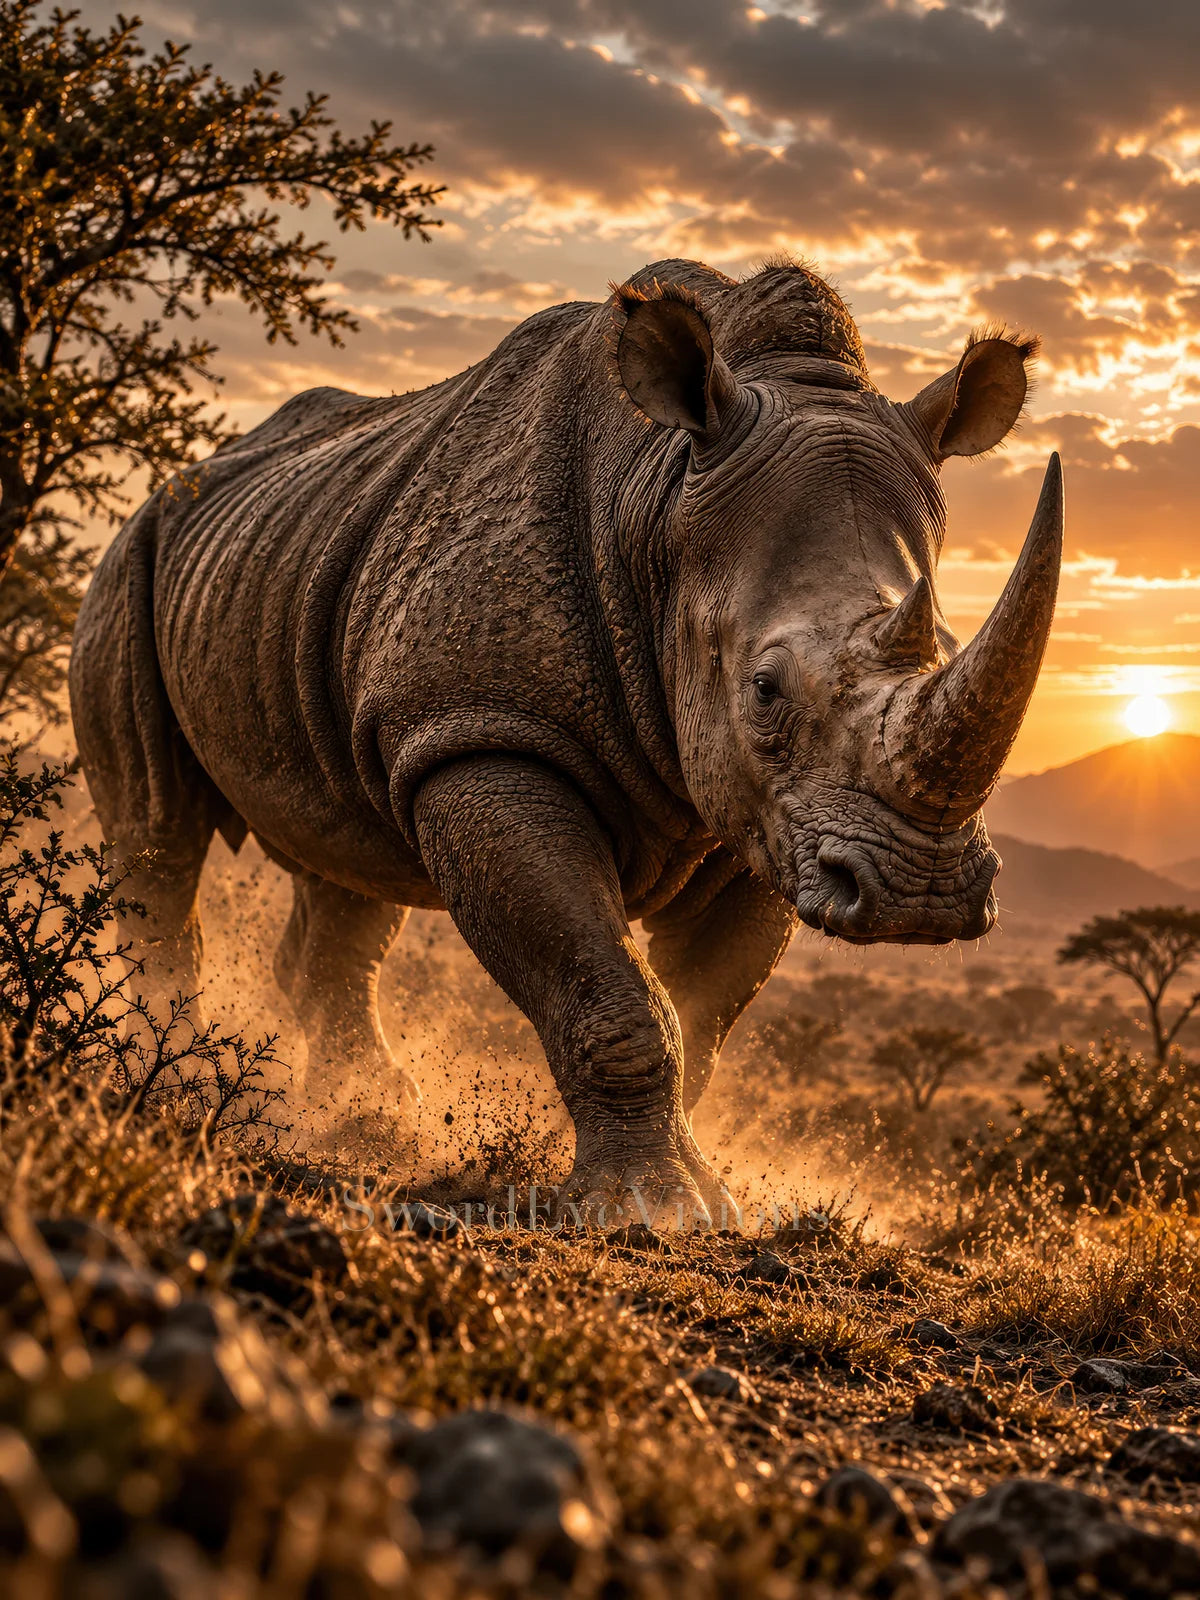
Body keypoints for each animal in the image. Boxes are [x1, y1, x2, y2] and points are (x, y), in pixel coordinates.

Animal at [69, 258, 1062, 1224]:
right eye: (766, 689)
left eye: (945, 649)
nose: (919, 896)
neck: (658, 502)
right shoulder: (484, 735)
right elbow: (604, 982)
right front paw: (645, 1212)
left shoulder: (769, 815)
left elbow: (701, 1013)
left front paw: (692, 1186)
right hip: (129, 563)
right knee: (158, 832)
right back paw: (174, 1082)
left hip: (297, 567)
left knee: (345, 855)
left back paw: (362, 1115)